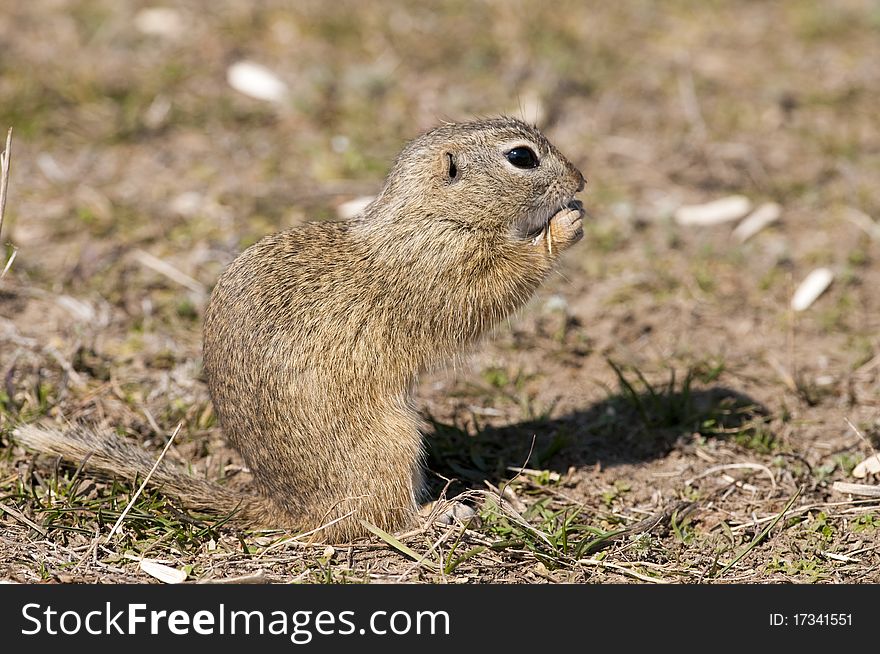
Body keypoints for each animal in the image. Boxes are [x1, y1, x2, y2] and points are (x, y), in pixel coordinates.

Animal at [12, 118, 584, 544]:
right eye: (522, 157)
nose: (581, 182)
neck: (431, 214)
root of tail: (291, 508)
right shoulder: (445, 269)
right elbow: (496, 285)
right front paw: (563, 227)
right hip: (391, 443)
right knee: (377, 520)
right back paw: (438, 515)